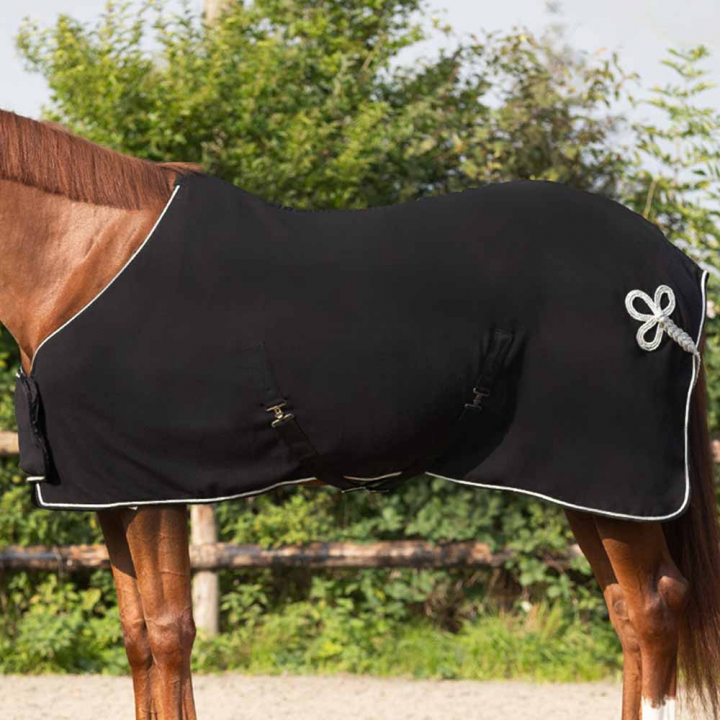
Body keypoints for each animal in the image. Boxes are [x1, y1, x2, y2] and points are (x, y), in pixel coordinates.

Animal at [1, 109, 719, 720]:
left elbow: (171, 633)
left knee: (655, 608)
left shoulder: (156, 494)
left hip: (616, 485)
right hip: (587, 490)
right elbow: (138, 638)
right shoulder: (111, 496)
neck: (90, 260)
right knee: (627, 613)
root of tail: (674, 269)